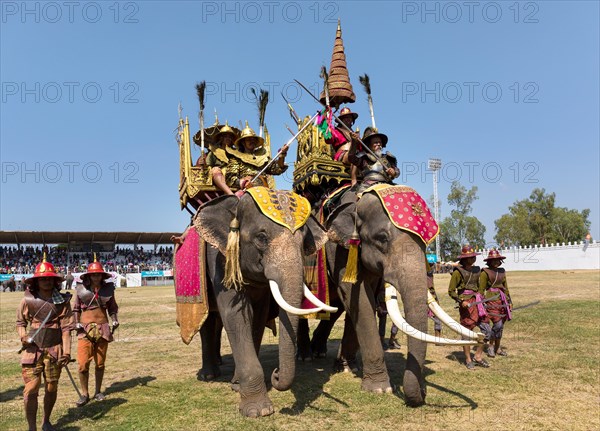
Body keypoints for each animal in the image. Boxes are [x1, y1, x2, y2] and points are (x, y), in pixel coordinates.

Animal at [195, 190, 328, 418]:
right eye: (262, 238)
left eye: (304, 243)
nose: (276, 373)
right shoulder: (220, 259)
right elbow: (236, 315)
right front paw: (259, 411)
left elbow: (256, 317)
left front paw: (237, 385)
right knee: (208, 321)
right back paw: (209, 375)